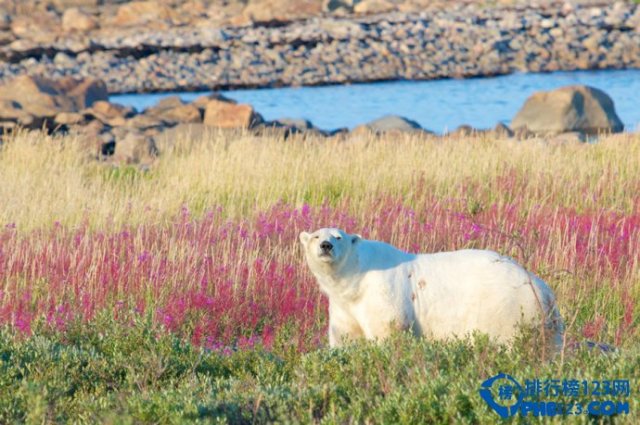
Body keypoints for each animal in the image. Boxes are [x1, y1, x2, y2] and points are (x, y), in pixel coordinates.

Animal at [298, 227, 564, 350]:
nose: (326, 245)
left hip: (507, 309)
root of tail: (543, 289)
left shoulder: (382, 292)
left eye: (338, 236)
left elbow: (389, 331)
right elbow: (345, 337)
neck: (355, 278)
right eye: (316, 236)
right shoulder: (344, 305)